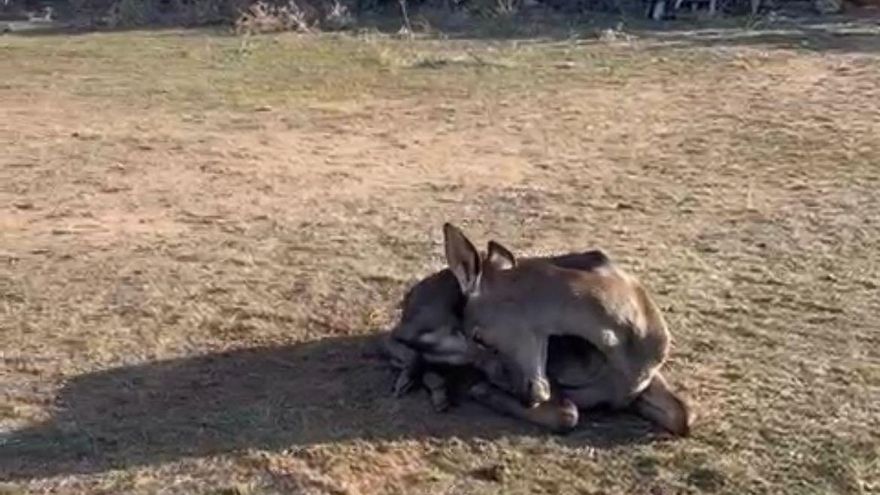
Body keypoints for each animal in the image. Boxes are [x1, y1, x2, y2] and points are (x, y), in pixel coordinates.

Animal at [384, 225, 696, 438]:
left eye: (479, 337)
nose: (527, 395)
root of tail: (410, 296)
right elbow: (568, 415)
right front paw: (483, 390)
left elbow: (684, 415)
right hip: (433, 330)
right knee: (395, 340)